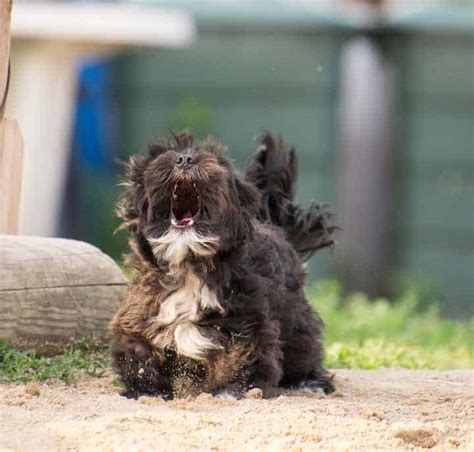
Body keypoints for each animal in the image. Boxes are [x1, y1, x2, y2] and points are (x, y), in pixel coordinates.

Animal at [110, 132, 336, 400]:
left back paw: (311, 383)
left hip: (296, 323)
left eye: (215, 159)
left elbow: (243, 357)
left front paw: (231, 391)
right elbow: (139, 354)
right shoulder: (141, 313)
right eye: (161, 154)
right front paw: (145, 390)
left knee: (304, 351)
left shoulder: (248, 322)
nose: (184, 158)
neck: (190, 267)